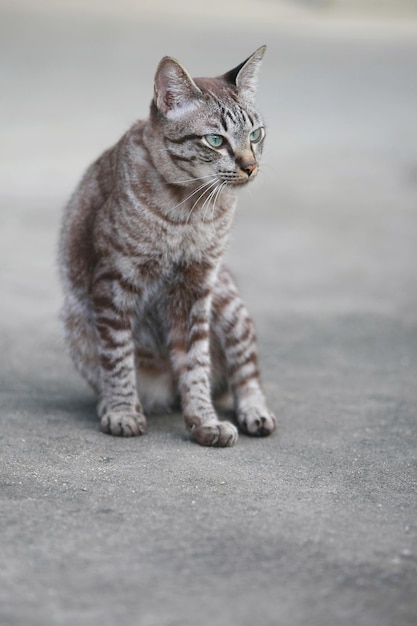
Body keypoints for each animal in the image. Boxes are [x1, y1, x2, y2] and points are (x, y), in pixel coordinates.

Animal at [57, 46, 272, 446]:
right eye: (215, 140)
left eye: (255, 134)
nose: (250, 167)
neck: (191, 209)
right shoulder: (114, 281)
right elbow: (117, 356)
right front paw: (123, 411)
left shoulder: (197, 284)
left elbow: (195, 363)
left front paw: (204, 420)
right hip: (75, 320)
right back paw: (113, 403)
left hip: (227, 304)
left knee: (245, 370)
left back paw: (254, 410)